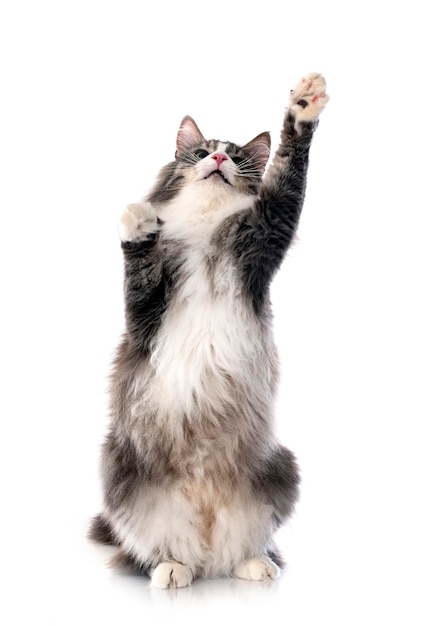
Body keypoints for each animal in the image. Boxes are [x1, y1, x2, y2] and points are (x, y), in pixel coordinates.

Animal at [88, 72, 330, 584]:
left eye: (237, 157)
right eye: (200, 152)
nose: (217, 160)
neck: (204, 227)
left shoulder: (265, 235)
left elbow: (288, 175)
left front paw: (304, 106)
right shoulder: (143, 315)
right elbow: (138, 261)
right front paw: (137, 221)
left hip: (280, 470)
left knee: (237, 550)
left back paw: (253, 565)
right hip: (119, 476)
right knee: (157, 550)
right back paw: (172, 570)